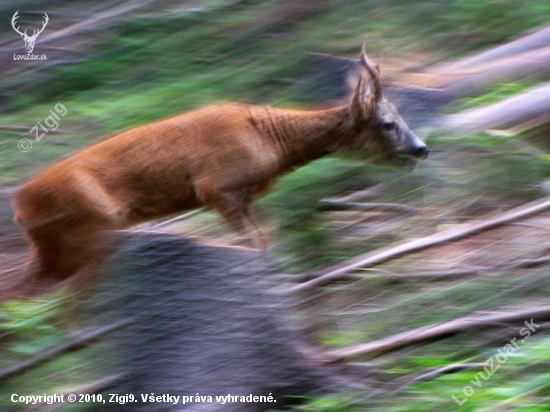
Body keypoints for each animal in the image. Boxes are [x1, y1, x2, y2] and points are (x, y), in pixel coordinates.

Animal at [10, 46, 430, 282]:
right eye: (387, 123)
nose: (422, 148)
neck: (270, 142)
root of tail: (19, 204)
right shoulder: (215, 188)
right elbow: (256, 246)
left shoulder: (244, 197)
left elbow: (268, 241)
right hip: (92, 225)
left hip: (55, 246)